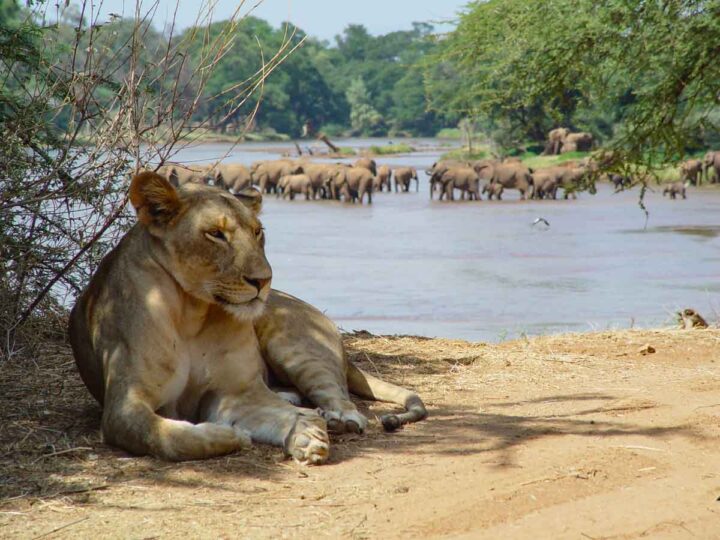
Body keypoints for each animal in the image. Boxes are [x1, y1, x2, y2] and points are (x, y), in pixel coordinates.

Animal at [68, 171, 426, 464]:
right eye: (216, 234)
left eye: (257, 232)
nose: (263, 280)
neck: (191, 313)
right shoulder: (124, 406)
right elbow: (163, 435)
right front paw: (230, 435)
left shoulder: (236, 393)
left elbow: (278, 415)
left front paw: (306, 434)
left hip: (295, 346)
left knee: (337, 393)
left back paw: (338, 418)